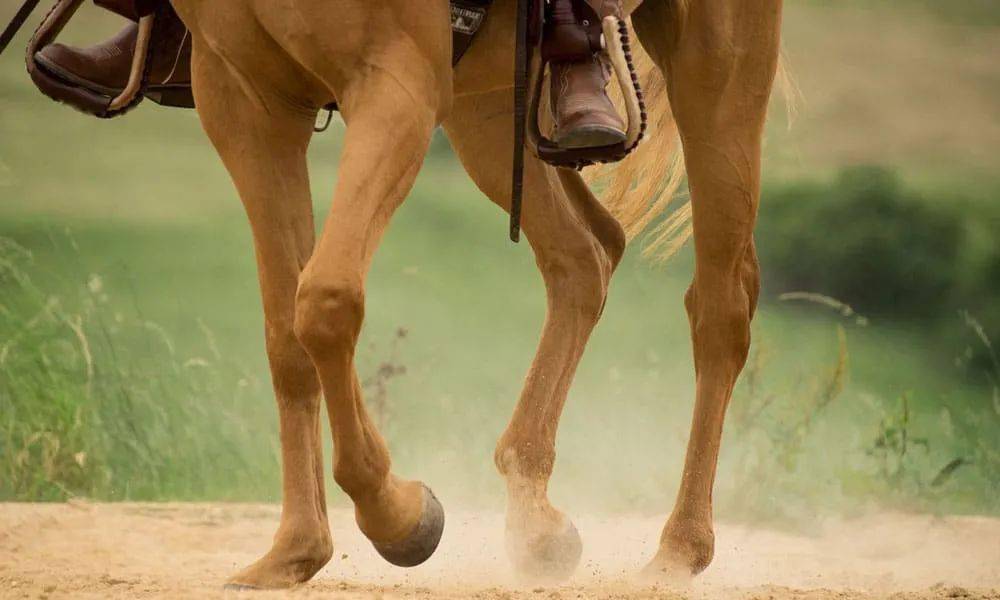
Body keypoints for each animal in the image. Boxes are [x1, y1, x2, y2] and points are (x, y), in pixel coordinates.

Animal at [168, 0, 784, 588]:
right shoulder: (243, 98)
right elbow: (286, 333)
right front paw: (296, 550)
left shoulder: (396, 82)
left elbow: (325, 302)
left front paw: (397, 516)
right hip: (491, 106)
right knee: (585, 255)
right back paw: (536, 521)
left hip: (718, 66)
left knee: (720, 309)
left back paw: (680, 548)